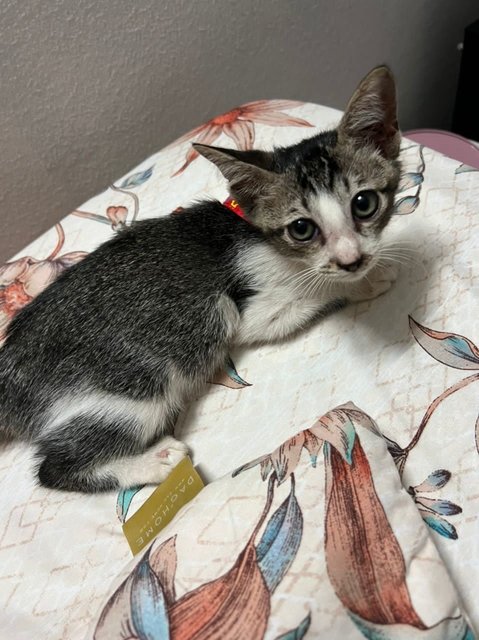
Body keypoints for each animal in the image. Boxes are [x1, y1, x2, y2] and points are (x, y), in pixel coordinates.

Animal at [0, 67, 404, 492]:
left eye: (364, 203)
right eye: (301, 228)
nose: (352, 260)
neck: (257, 231)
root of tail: (9, 371)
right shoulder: (239, 310)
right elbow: (313, 291)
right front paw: (367, 281)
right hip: (127, 384)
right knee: (54, 469)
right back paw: (155, 462)